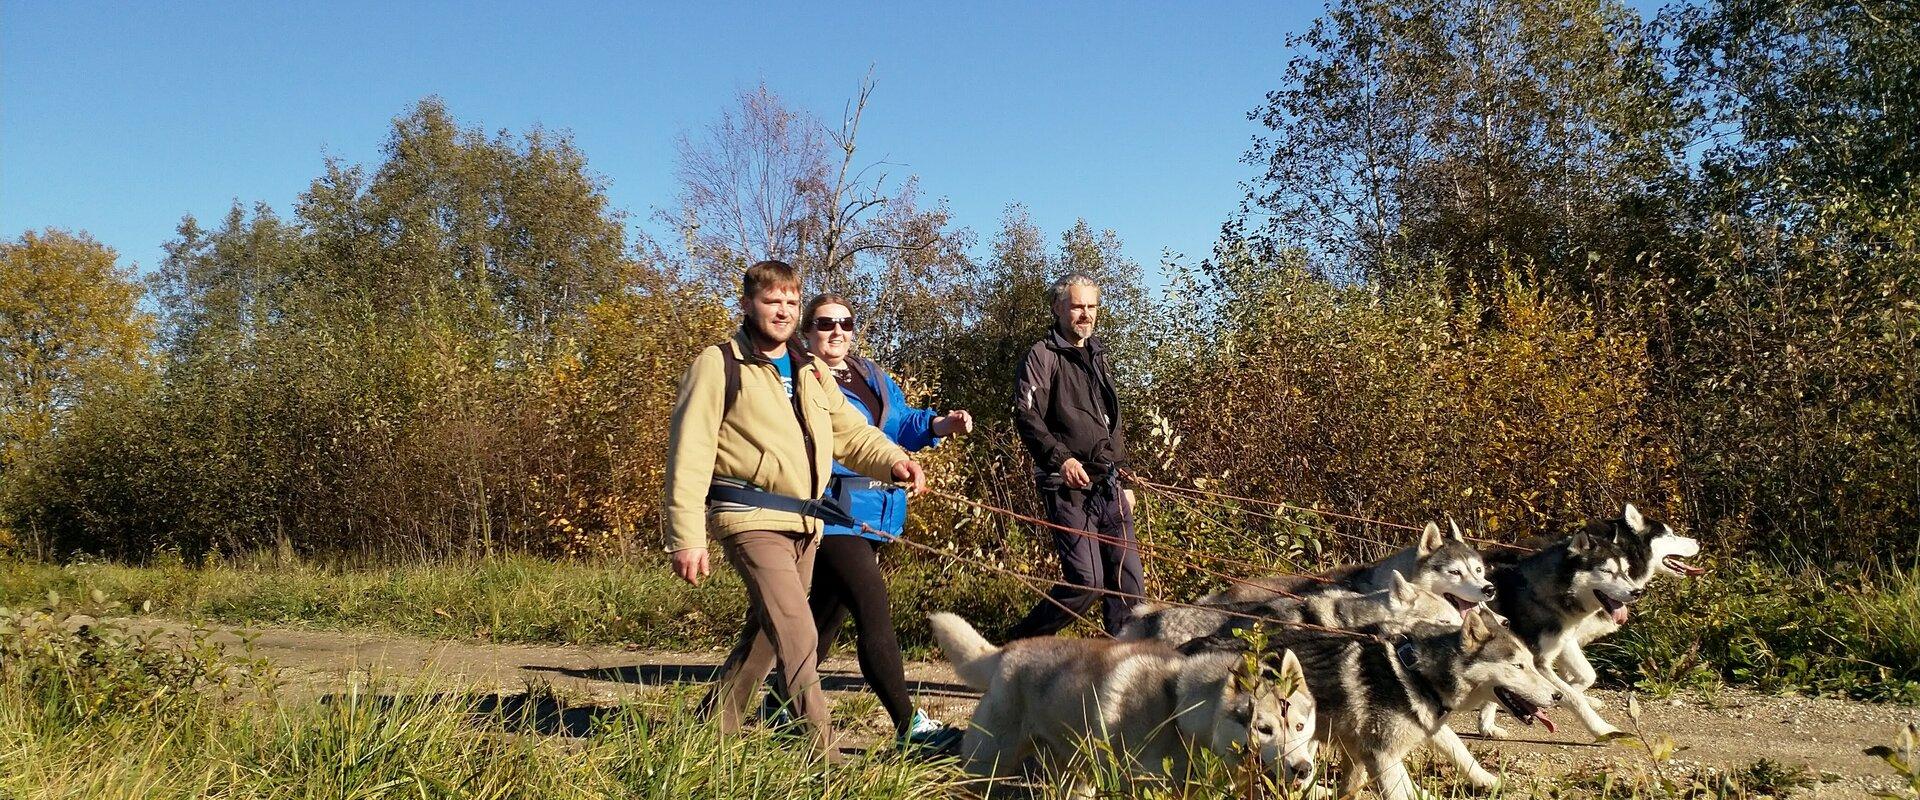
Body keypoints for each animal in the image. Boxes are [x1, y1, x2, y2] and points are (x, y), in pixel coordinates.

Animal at [929, 610, 1320, 786]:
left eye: (1300, 726)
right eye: (1263, 729)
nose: (1303, 769)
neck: (1178, 712)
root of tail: (1007, 652)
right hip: (986, 765)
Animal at [1182, 606, 1559, 798]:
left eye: (1530, 662)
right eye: (1518, 666)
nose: (1556, 695)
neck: (1413, 672)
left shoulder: (1415, 731)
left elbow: (1460, 751)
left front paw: (1487, 780)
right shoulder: (1384, 754)